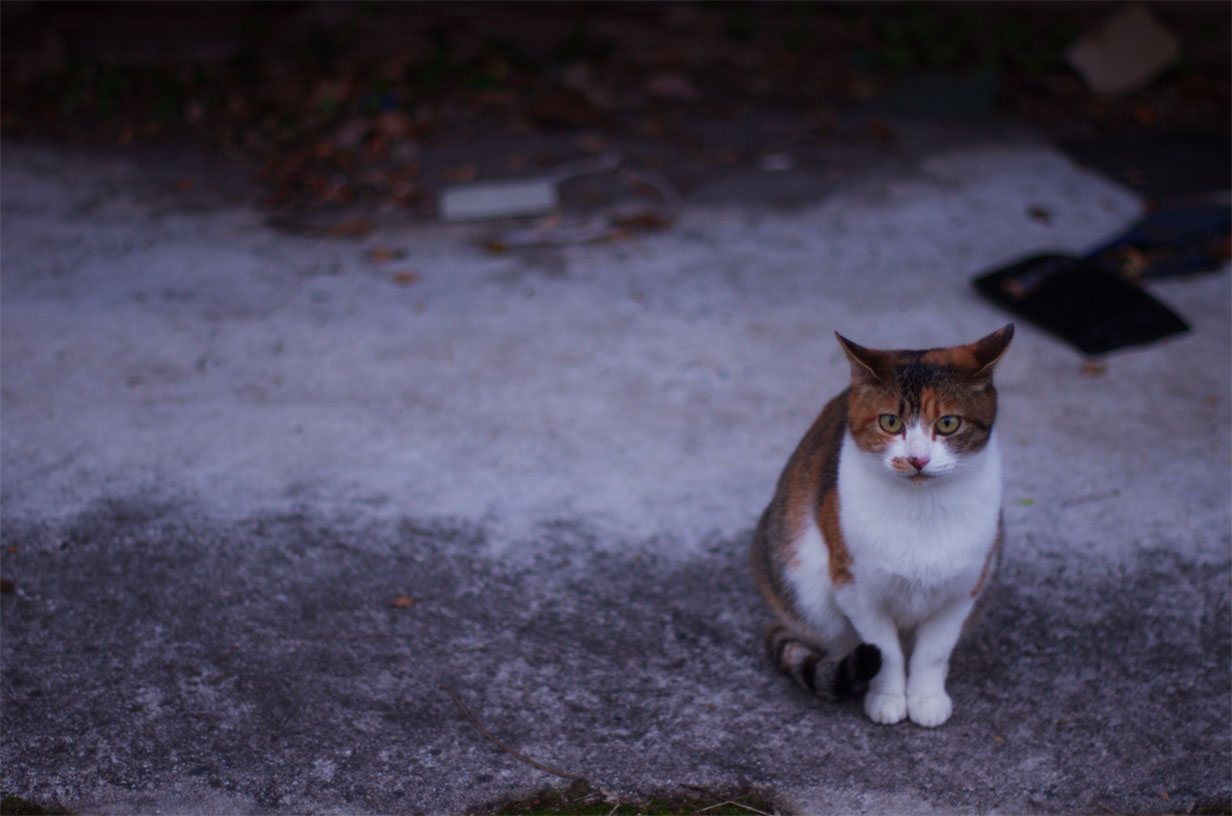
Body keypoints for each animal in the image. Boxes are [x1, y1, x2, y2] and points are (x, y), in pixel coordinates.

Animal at [749, 325, 1010, 729]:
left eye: (948, 424)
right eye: (890, 422)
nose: (917, 459)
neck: (922, 508)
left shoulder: (964, 587)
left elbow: (933, 650)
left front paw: (926, 696)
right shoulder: (854, 586)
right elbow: (884, 650)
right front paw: (888, 696)